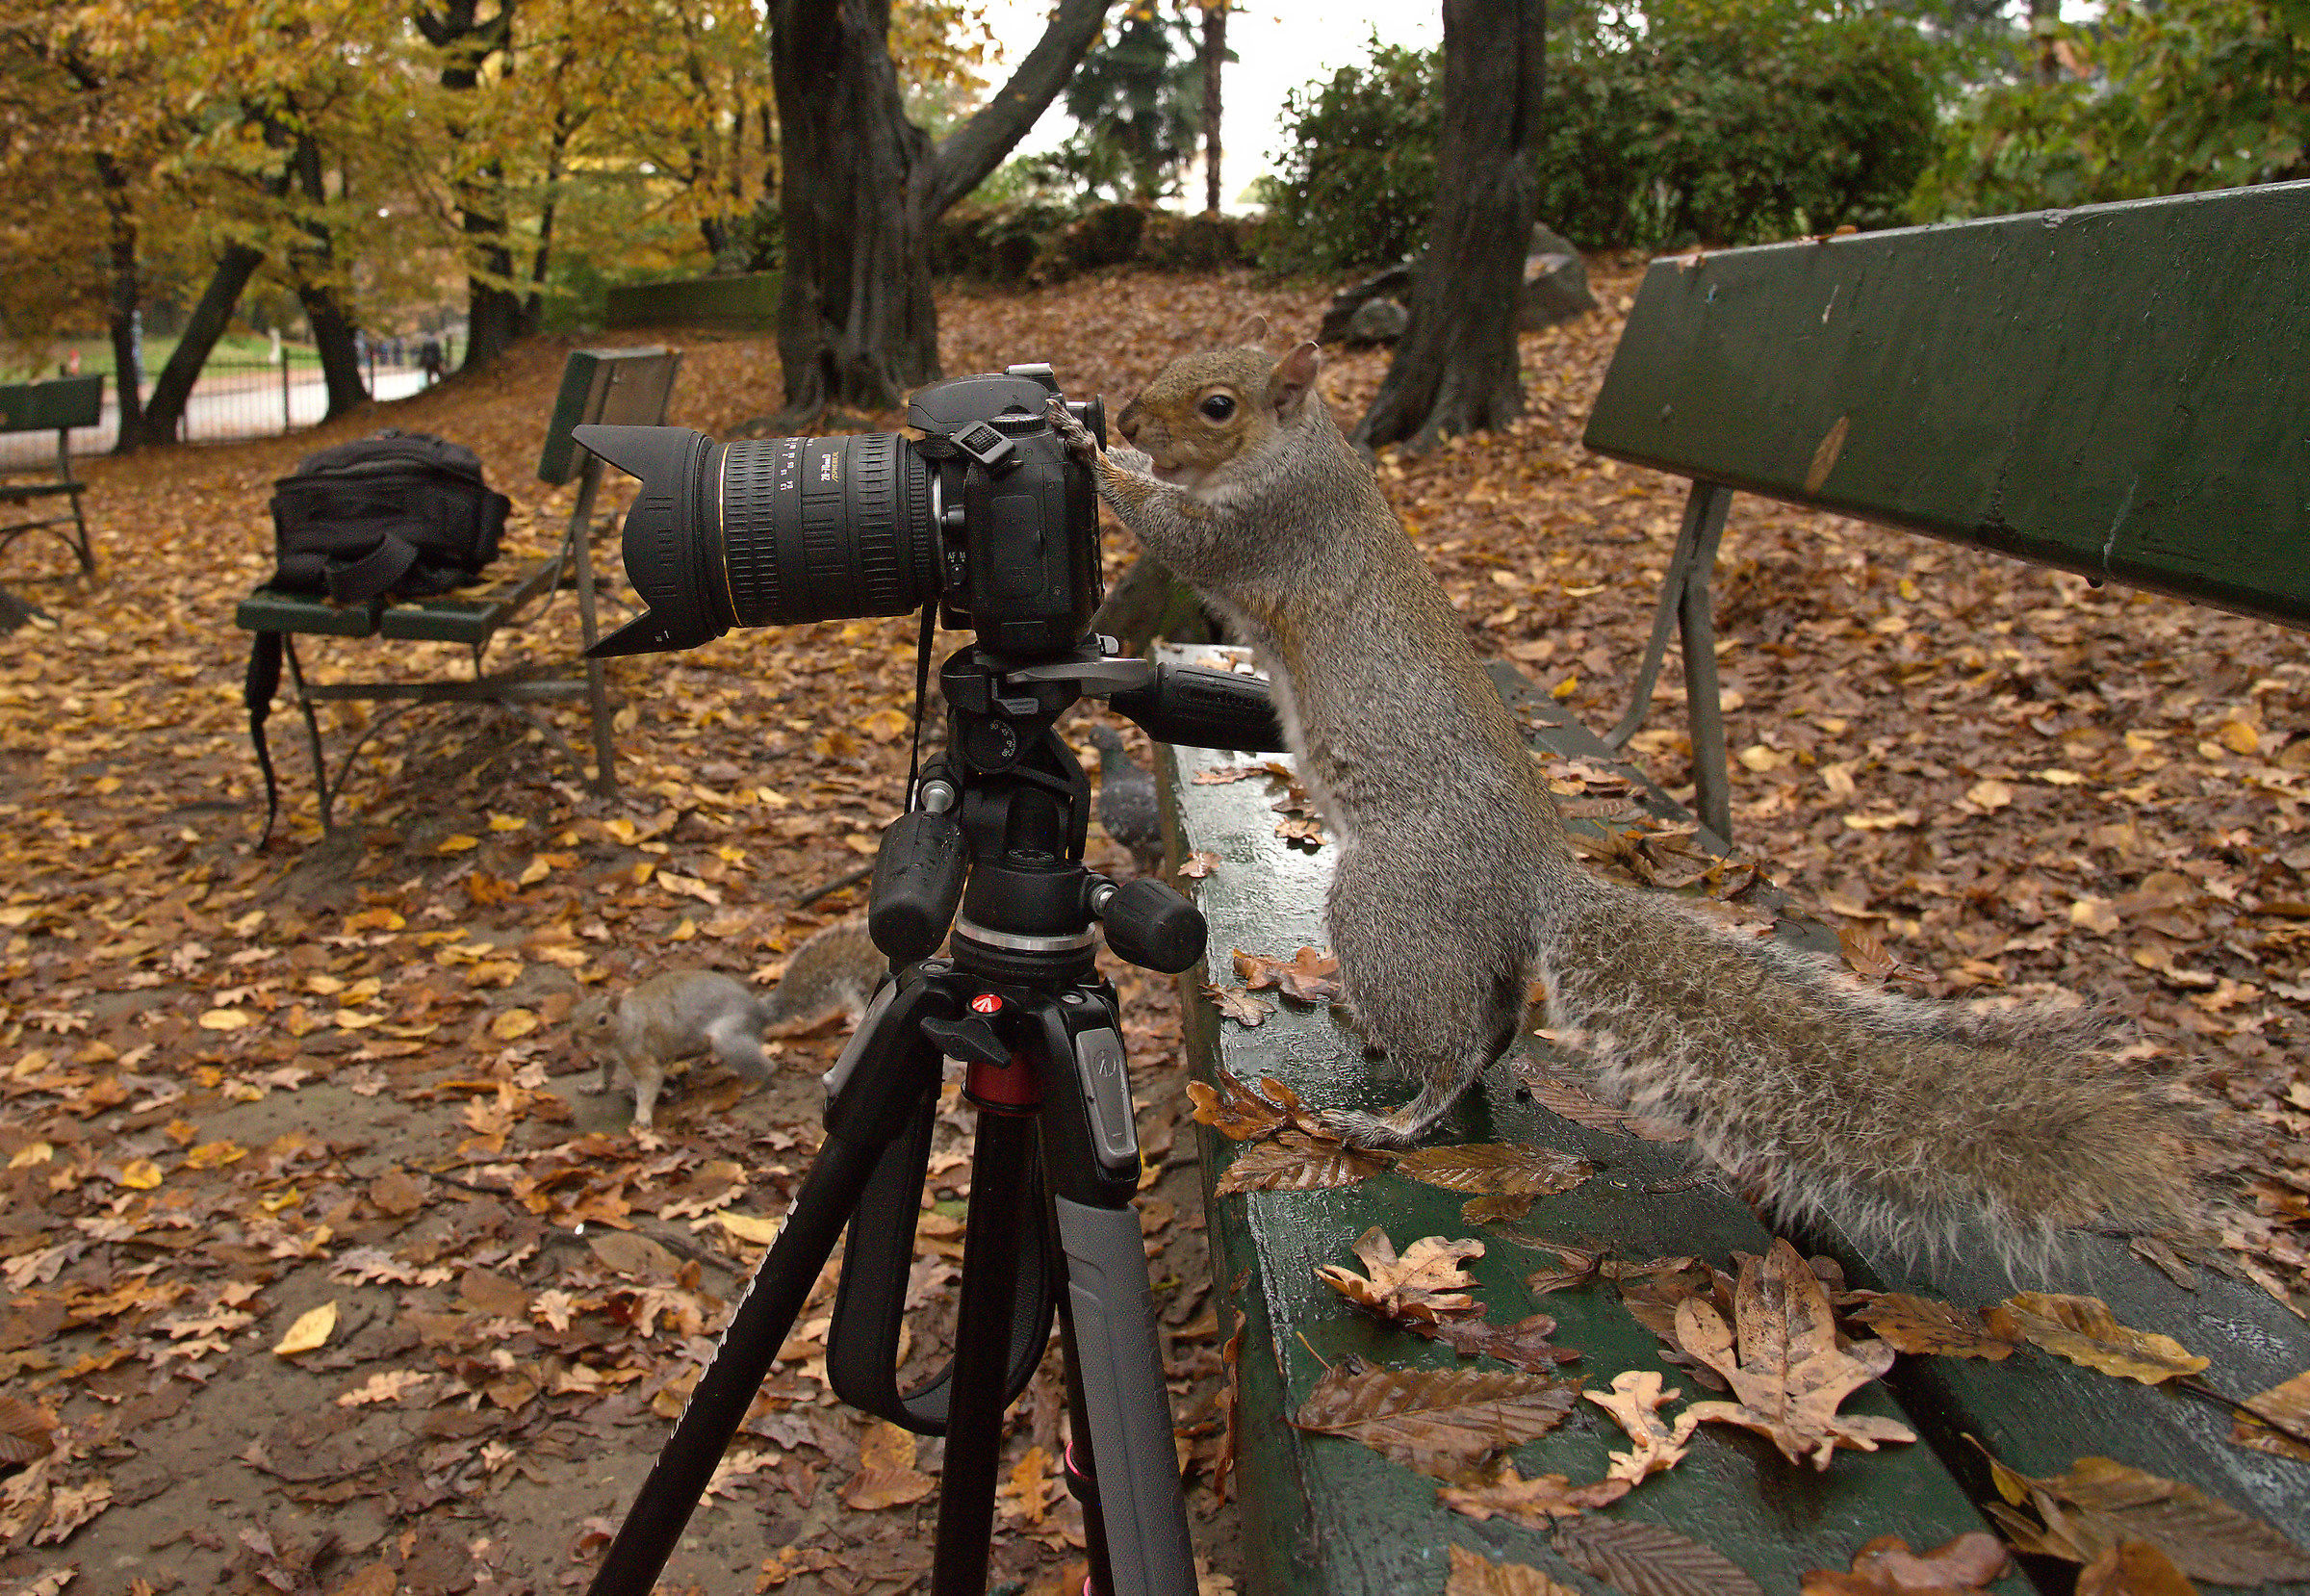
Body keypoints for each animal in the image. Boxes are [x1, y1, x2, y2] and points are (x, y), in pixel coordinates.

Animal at [573, 918, 885, 1128]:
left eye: (602, 1020)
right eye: (576, 1013)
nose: (576, 1038)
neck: (623, 1025)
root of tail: (759, 1012)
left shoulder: (641, 1054)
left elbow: (648, 1085)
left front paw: (642, 1117)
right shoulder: (608, 1056)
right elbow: (606, 1073)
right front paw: (595, 1087)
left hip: (727, 1039)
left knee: (768, 1067)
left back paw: (755, 1085)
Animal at [1045, 327, 2218, 1268]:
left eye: (1218, 405)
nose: (1134, 414)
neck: (1305, 448)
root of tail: (1534, 886)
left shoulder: (1271, 524)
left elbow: (1185, 533)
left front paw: (1087, 450)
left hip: (1395, 900)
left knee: (1455, 1050)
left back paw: (1399, 1114)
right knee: (1490, 1024)